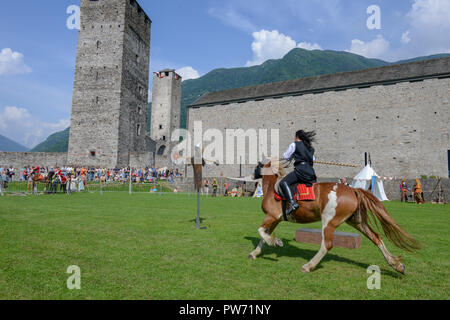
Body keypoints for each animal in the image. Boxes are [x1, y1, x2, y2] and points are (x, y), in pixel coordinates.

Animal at [250, 159, 422, 274]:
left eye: (257, 166)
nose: (252, 176)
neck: (272, 189)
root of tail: (353, 190)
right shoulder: (276, 219)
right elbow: (263, 235)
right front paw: (255, 253)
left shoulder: (272, 216)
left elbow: (261, 232)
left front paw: (276, 242)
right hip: (357, 222)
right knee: (376, 237)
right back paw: (396, 265)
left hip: (329, 222)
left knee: (327, 245)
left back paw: (309, 266)